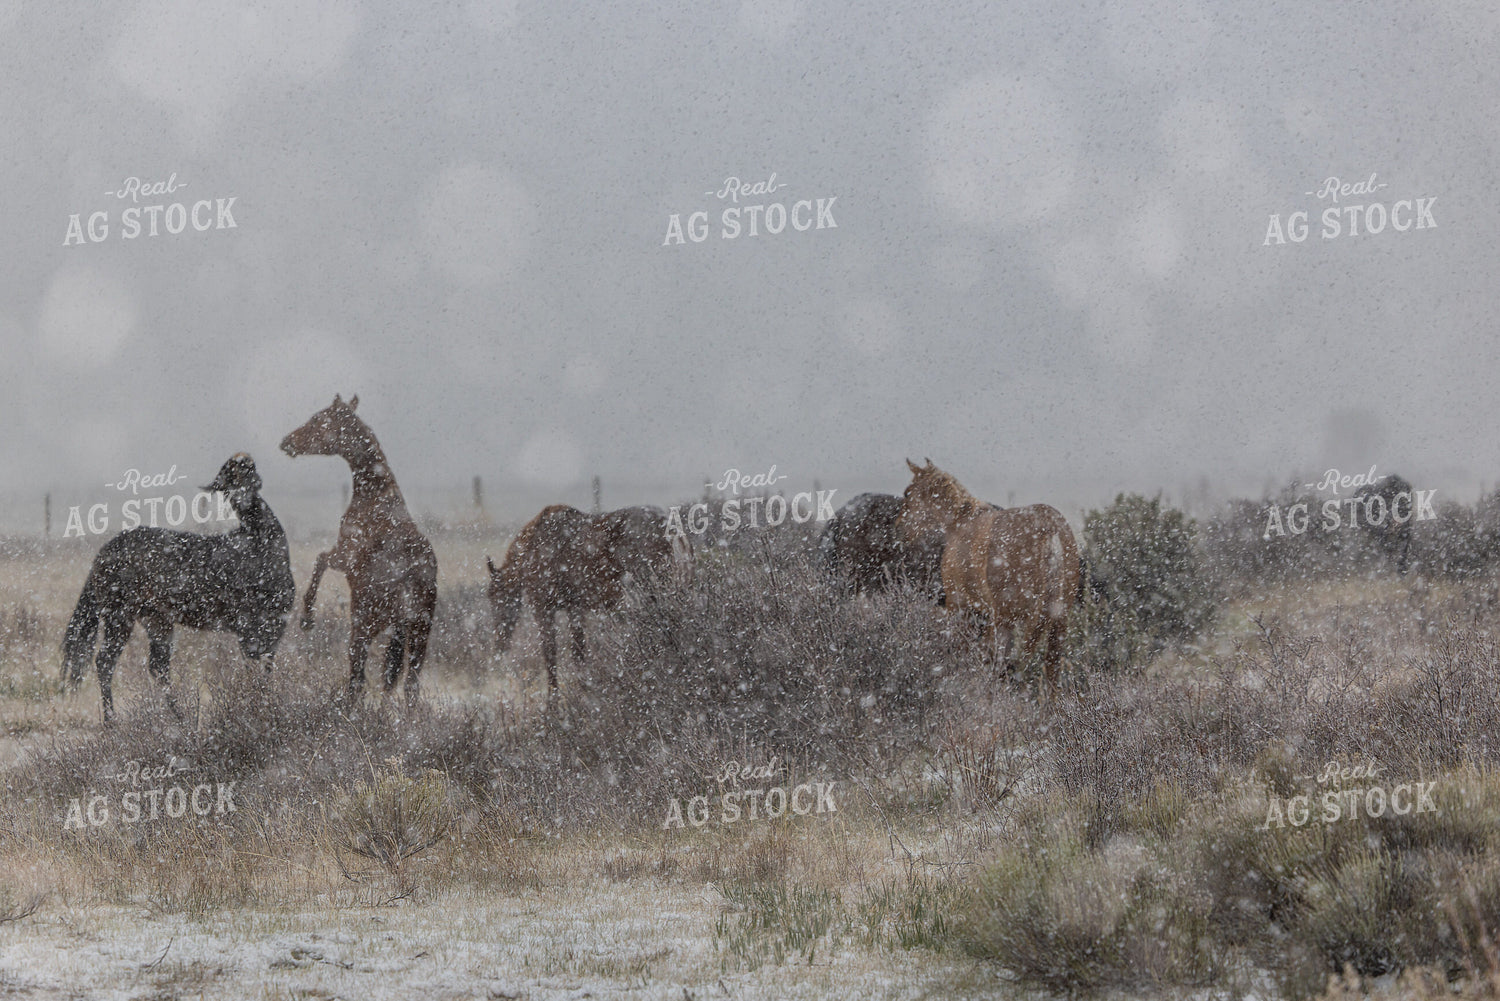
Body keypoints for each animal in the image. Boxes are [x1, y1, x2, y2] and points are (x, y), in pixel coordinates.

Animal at [61, 453, 295, 722]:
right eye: (232, 475)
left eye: (248, 470)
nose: (245, 495)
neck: (259, 545)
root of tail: (103, 552)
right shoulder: (250, 629)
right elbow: (255, 670)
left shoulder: (273, 628)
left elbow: (265, 669)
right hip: (119, 616)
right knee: (106, 662)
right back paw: (112, 720)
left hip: (157, 621)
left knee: (158, 667)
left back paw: (181, 716)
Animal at [280, 395, 438, 703]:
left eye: (318, 419)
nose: (286, 442)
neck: (374, 493)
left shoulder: (344, 556)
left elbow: (319, 560)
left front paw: (307, 618)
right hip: (419, 633)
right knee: (408, 685)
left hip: (365, 624)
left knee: (358, 678)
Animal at [487, 504, 674, 693]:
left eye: (493, 596)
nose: (498, 645)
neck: (527, 555)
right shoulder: (573, 608)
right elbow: (577, 651)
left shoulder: (545, 609)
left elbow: (553, 654)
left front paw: (556, 698)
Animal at [895, 459, 1080, 697]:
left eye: (908, 493)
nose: (899, 529)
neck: (961, 525)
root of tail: (1050, 529)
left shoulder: (960, 607)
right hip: (1058, 622)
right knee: (1051, 671)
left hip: (1008, 618)